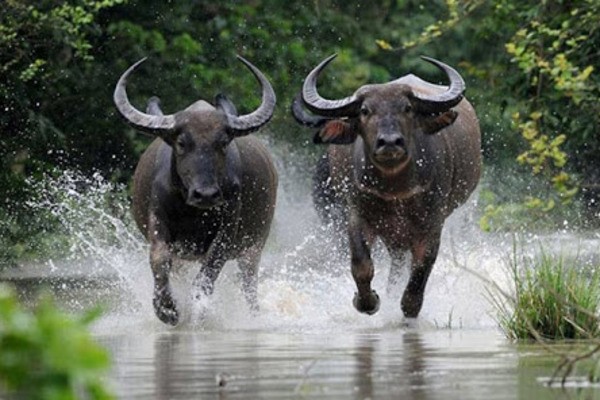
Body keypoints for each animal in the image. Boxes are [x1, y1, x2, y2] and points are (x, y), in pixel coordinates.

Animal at [113, 56, 278, 324]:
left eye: (223, 142)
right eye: (181, 143)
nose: (206, 195)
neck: (192, 212)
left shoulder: (228, 229)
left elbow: (208, 273)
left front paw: (198, 311)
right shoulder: (158, 220)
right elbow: (159, 258)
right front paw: (167, 309)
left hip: (254, 244)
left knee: (249, 282)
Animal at [292, 54, 480, 318]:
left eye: (408, 108)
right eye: (364, 110)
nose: (390, 142)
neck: (394, 188)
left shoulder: (433, 220)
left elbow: (422, 266)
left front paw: (409, 307)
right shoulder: (355, 214)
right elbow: (361, 264)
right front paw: (367, 302)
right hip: (392, 234)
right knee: (396, 264)